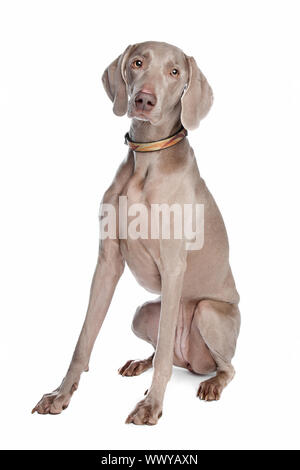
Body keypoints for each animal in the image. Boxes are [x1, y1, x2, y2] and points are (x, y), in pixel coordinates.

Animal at [32, 41, 239, 426]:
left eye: (175, 71)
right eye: (138, 63)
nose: (144, 99)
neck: (145, 162)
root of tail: (192, 362)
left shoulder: (173, 266)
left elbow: (164, 357)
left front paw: (151, 406)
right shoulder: (107, 261)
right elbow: (84, 339)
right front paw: (60, 395)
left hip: (208, 312)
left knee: (221, 366)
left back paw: (212, 384)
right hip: (143, 310)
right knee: (162, 351)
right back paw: (139, 363)